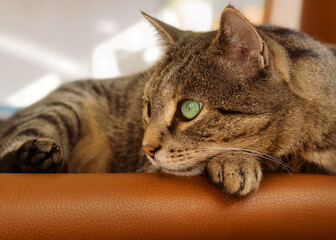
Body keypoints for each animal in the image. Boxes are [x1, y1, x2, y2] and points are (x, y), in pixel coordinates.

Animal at [0, 6, 336, 196]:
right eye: (149, 107)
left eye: (189, 109)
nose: (146, 149)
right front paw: (236, 161)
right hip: (63, 108)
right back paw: (37, 156)